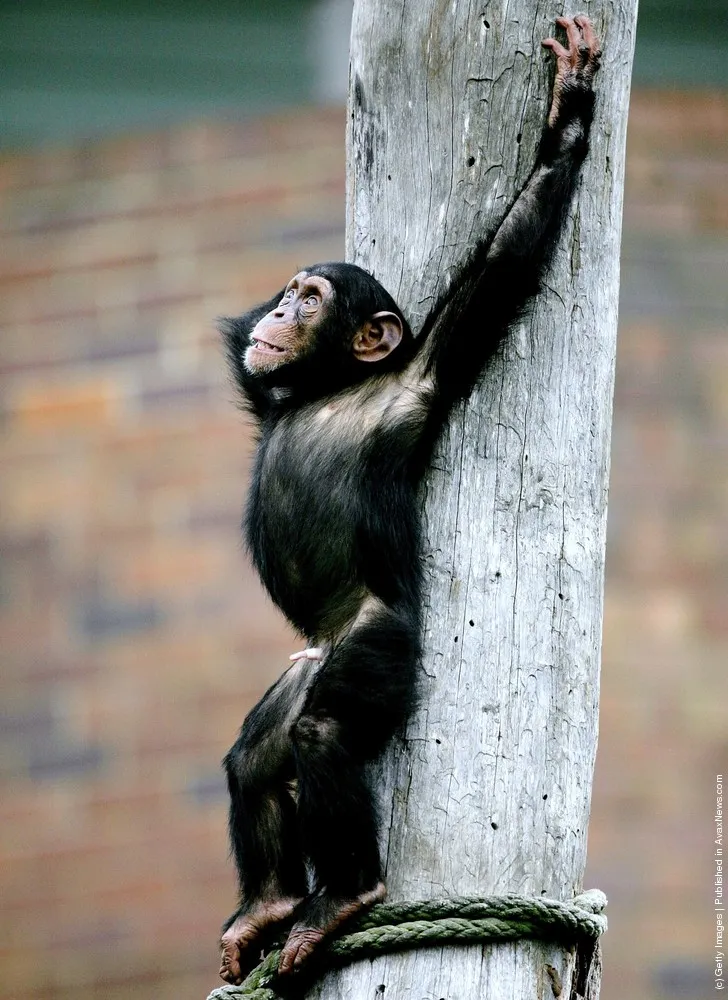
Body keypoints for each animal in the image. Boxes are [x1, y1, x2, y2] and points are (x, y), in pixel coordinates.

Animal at [217, 15, 601, 984]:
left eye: (313, 297)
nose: (282, 312)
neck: (325, 391)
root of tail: (325, 645)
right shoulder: (266, 389)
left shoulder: (421, 379)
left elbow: (502, 269)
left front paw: (570, 113)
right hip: (302, 668)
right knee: (254, 758)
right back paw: (268, 903)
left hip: (377, 643)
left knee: (320, 737)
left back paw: (344, 896)